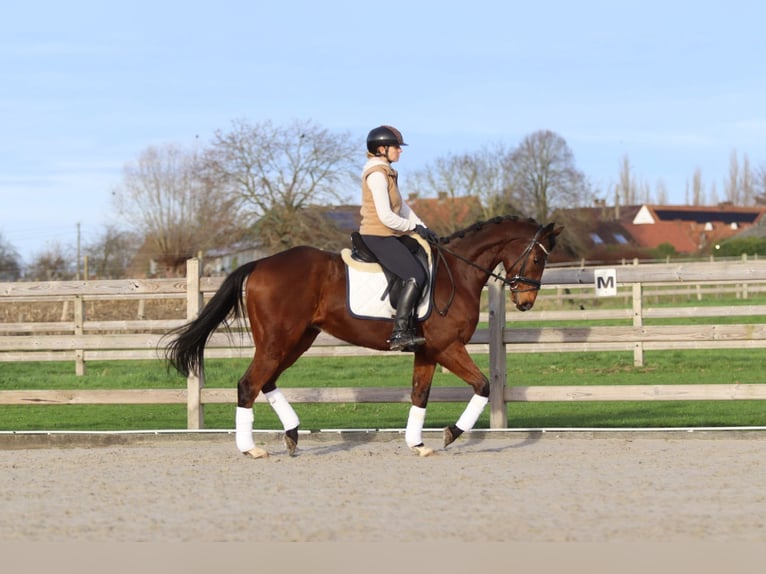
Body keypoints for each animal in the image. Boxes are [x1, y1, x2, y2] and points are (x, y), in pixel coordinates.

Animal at [164, 215, 562, 458]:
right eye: (538, 259)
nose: (526, 302)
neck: (458, 273)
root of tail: (260, 263)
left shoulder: (428, 351)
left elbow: (419, 395)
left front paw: (418, 443)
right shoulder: (448, 347)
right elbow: (483, 385)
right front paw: (451, 432)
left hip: (297, 340)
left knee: (267, 382)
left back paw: (292, 434)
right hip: (279, 341)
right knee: (249, 384)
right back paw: (251, 448)